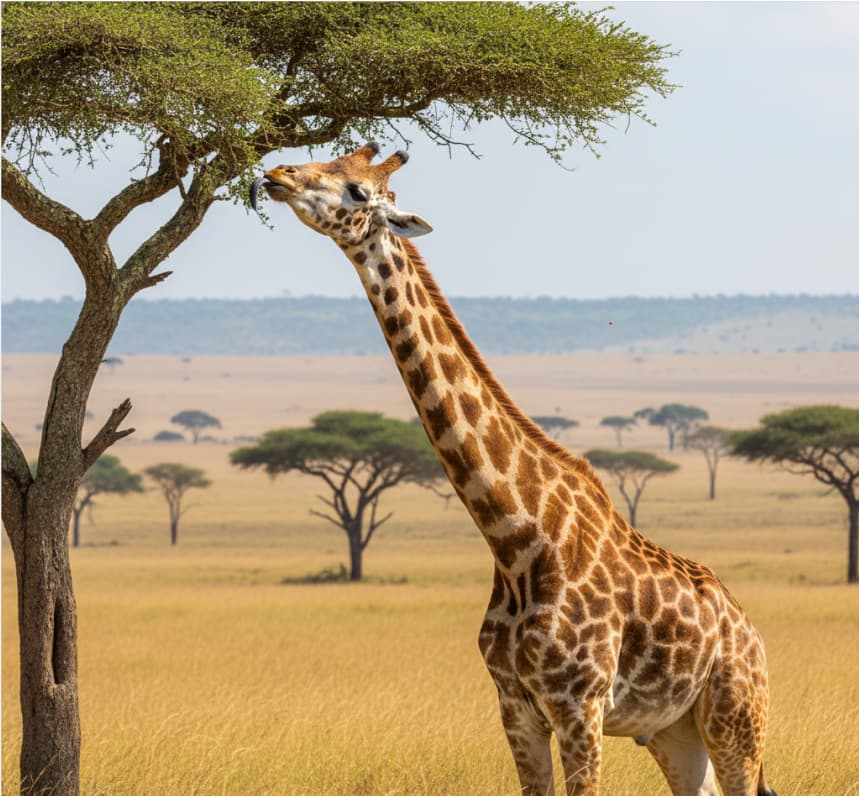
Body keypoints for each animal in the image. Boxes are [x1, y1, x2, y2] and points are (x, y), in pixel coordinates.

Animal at [251, 143, 776, 796]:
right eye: (330, 158)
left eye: (357, 191)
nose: (276, 174)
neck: (516, 538)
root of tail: (750, 631)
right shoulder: (514, 706)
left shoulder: (580, 706)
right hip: (673, 730)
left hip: (737, 717)